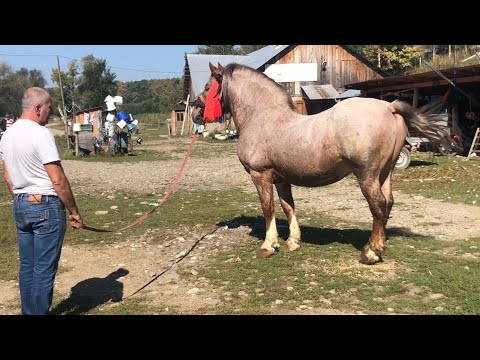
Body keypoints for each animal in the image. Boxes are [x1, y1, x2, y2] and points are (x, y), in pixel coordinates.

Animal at [196, 62, 450, 264]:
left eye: (208, 88)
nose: (196, 112)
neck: (264, 117)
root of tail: (388, 106)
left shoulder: (261, 175)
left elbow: (268, 209)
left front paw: (269, 246)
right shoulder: (282, 179)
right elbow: (288, 207)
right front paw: (293, 242)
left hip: (367, 175)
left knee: (378, 206)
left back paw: (370, 253)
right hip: (385, 173)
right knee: (388, 203)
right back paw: (379, 244)